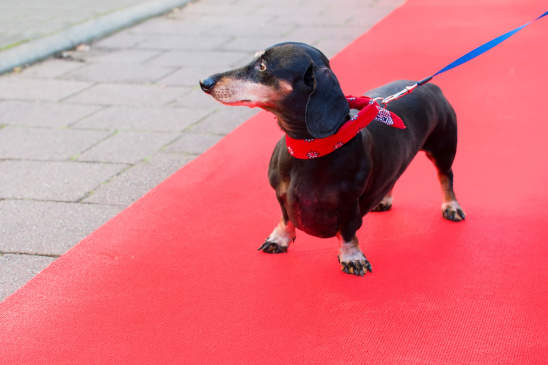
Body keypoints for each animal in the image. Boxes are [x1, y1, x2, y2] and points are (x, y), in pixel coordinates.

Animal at [199, 42, 464, 276]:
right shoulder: (281, 195)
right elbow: (286, 218)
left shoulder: (349, 204)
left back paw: (451, 206)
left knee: (446, 176)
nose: (204, 83)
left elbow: (347, 232)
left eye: (263, 66)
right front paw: (279, 239)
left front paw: (352, 257)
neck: (309, 148)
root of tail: (429, 86)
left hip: (443, 147)